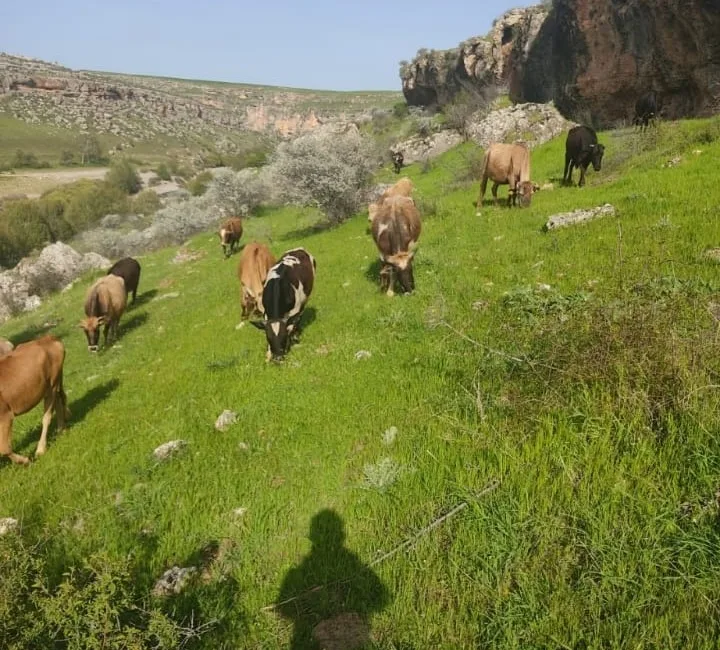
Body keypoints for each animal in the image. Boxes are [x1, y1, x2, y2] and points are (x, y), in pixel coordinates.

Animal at [0, 336, 69, 464]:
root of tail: (48, 337)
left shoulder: (5, 415)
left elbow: (4, 448)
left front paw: (25, 460)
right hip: (55, 383)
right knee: (59, 401)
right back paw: (61, 430)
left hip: (52, 386)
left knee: (47, 417)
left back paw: (41, 449)